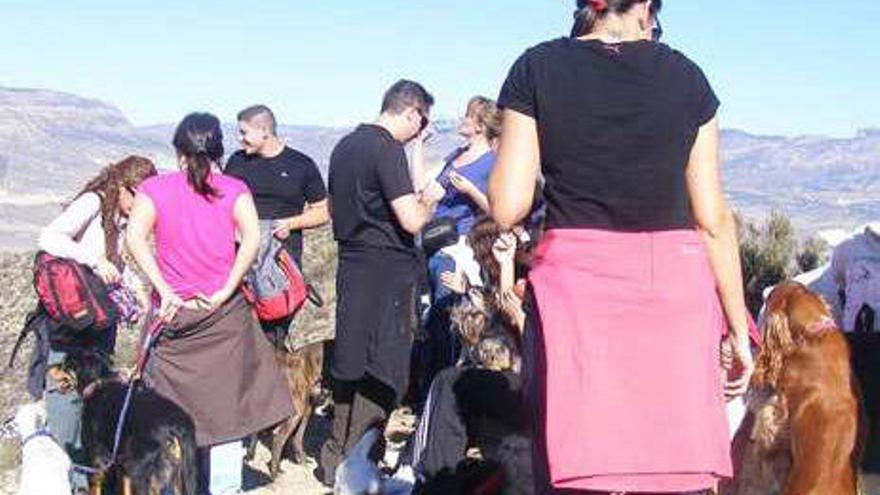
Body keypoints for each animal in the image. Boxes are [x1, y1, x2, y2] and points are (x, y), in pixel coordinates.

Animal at [56, 350, 198, 495]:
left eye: (65, 365)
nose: (51, 367)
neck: (98, 385)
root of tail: (177, 424)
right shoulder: (121, 464)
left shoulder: (96, 458)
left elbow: (94, 488)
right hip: (178, 474)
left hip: (140, 471)